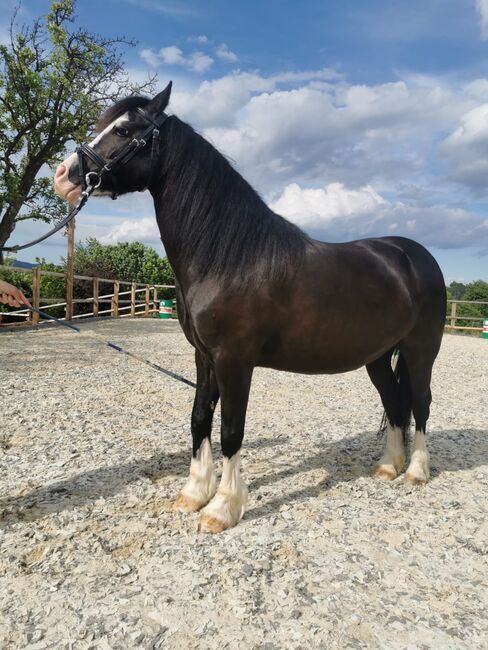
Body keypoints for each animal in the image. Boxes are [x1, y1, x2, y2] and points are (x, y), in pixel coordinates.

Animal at [53, 82, 446, 532]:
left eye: (123, 129)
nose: (63, 175)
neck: (229, 258)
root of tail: (412, 256)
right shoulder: (204, 356)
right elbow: (199, 419)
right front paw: (193, 494)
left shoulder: (234, 359)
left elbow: (231, 430)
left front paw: (222, 508)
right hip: (378, 357)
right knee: (394, 403)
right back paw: (387, 466)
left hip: (420, 350)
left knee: (420, 402)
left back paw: (415, 471)